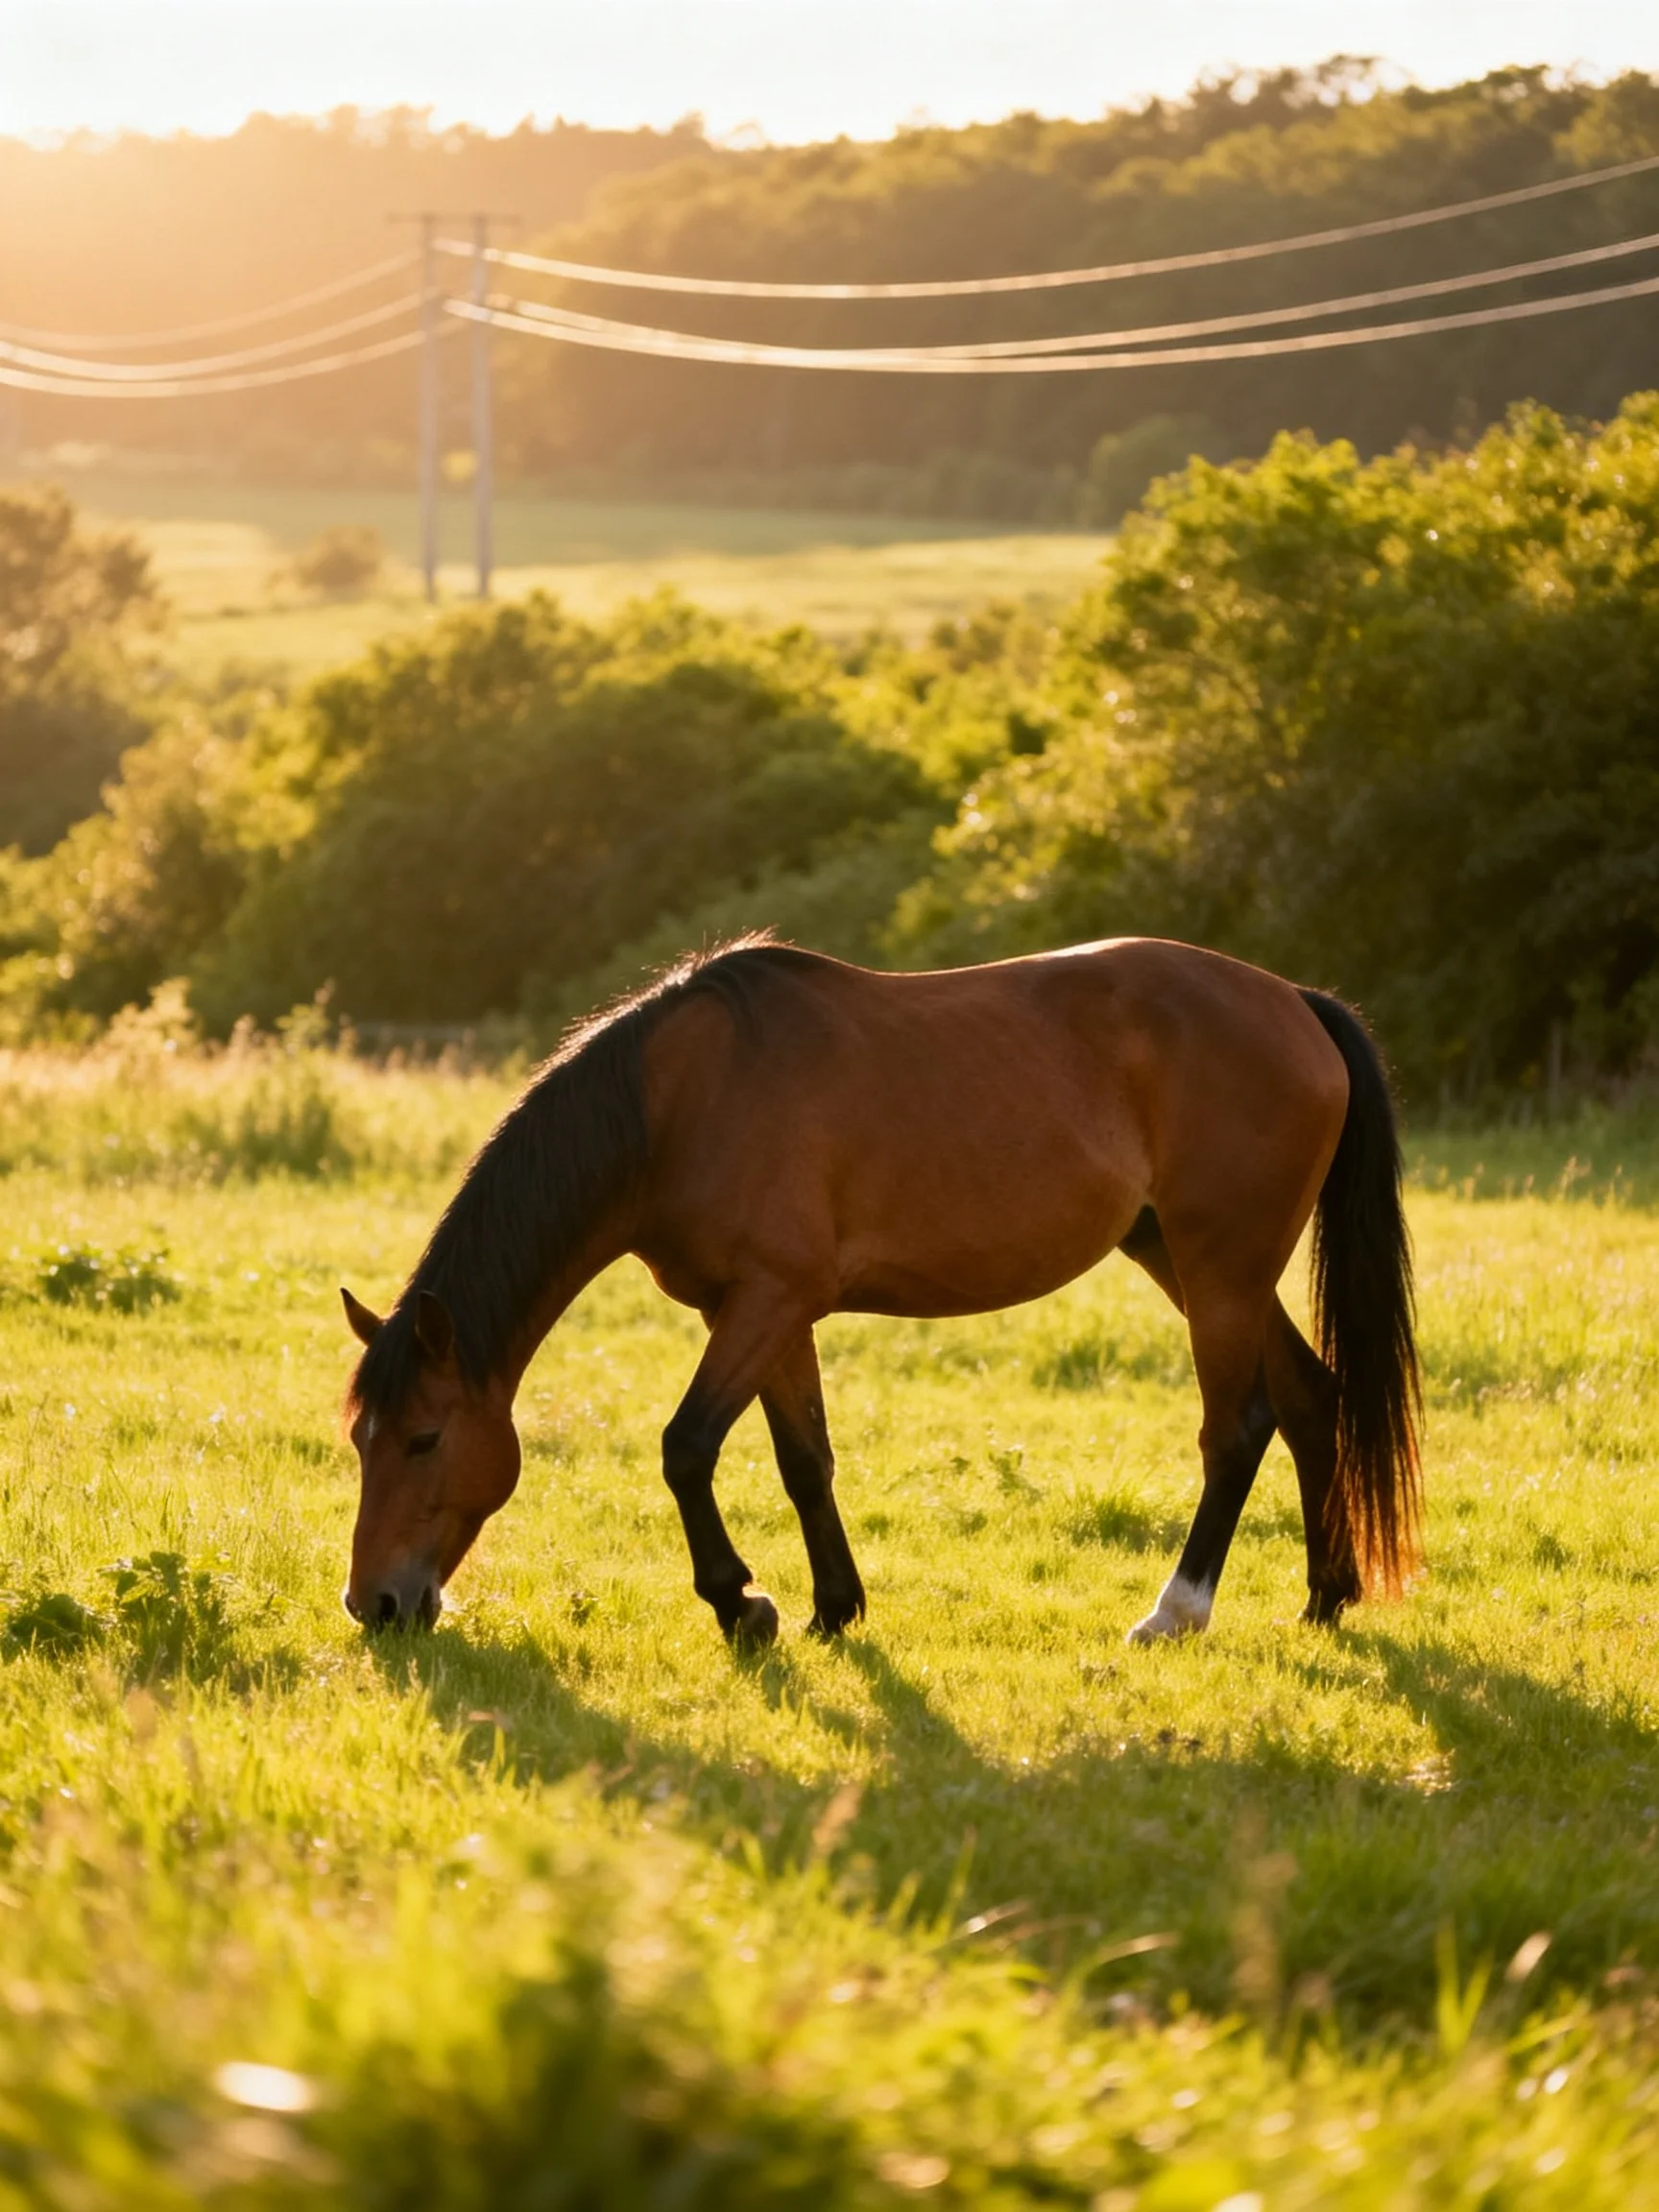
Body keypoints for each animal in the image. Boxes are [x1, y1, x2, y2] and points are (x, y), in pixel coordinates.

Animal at [340, 935, 1421, 1646]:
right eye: (360, 1440)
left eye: (424, 1438)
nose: (374, 1605)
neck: (678, 1104)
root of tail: (1298, 1003)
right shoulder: (765, 1312)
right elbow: (803, 1459)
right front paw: (832, 1608)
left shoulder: (768, 1301)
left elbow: (687, 1448)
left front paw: (742, 1604)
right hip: (1191, 1262)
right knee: (1311, 1396)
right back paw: (1326, 1596)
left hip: (1219, 1269)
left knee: (1237, 1429)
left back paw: (1176, 1611)